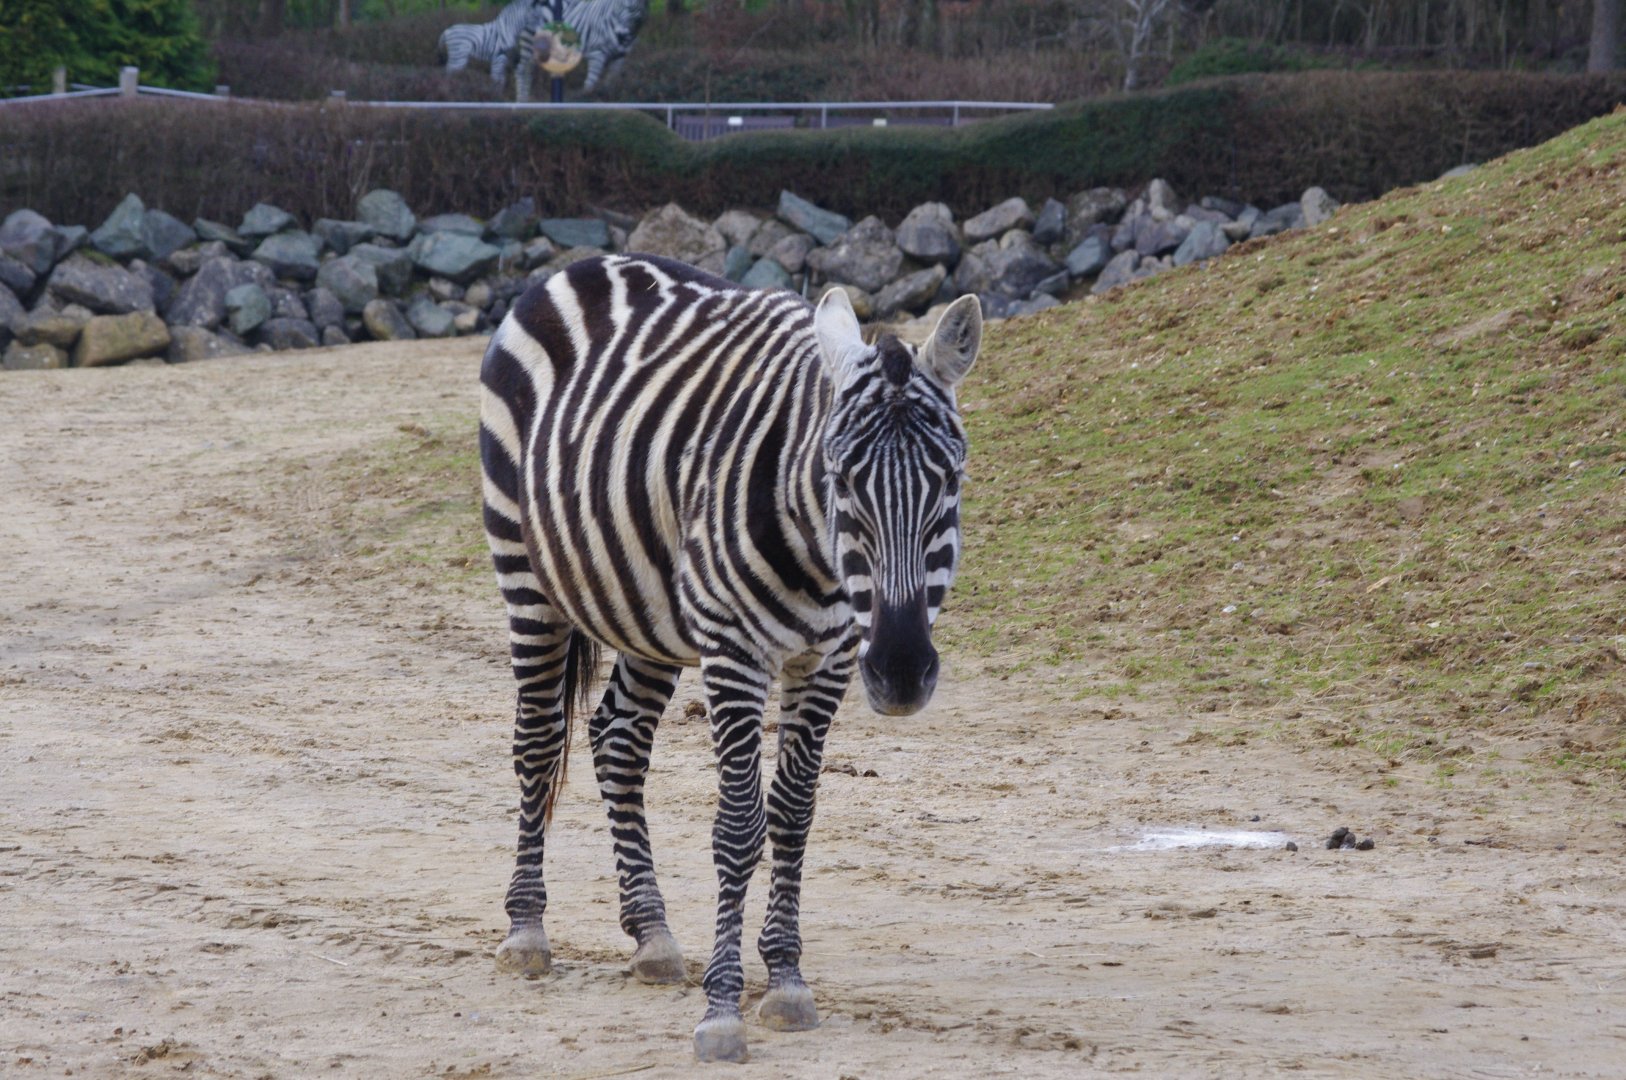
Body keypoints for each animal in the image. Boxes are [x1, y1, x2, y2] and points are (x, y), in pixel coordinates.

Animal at [478, 253, 982, 1063]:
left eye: (950, 480)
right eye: (841, 480)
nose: (903, 672)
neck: (818, 555)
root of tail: (591, 262)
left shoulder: (829, 660)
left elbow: (795, 815)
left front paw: (785, 980)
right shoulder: (735, 654)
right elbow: (740, 827)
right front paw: (722, 1009)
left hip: (650, 611)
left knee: (618, 739)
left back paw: (651, 934)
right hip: (524, 570)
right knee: (537, 741)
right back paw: (526, 930)